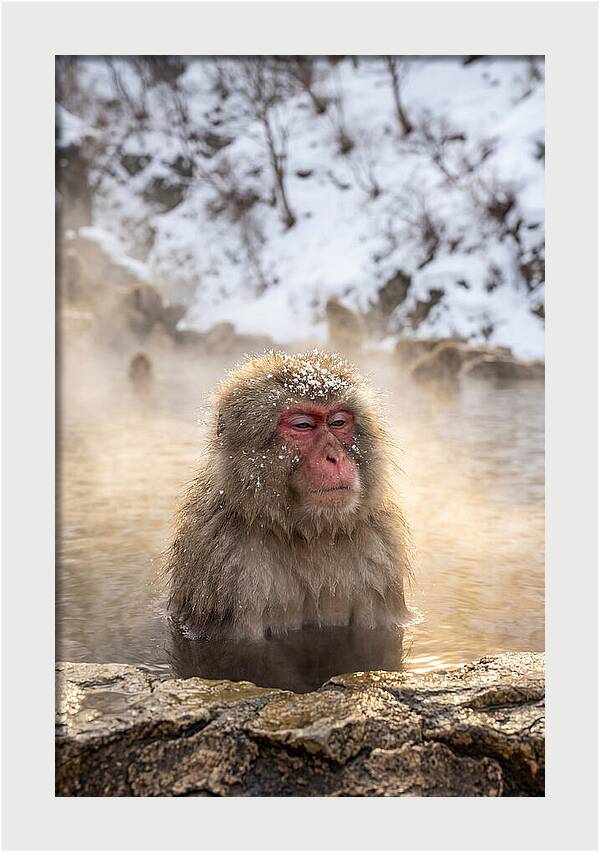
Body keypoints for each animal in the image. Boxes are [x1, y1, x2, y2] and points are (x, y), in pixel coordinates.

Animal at [166, 350, 411, 640]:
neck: (310, 534)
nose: (335, 457)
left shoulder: (380, 552)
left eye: (338, 422)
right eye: (302, 425)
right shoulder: (225, 562)